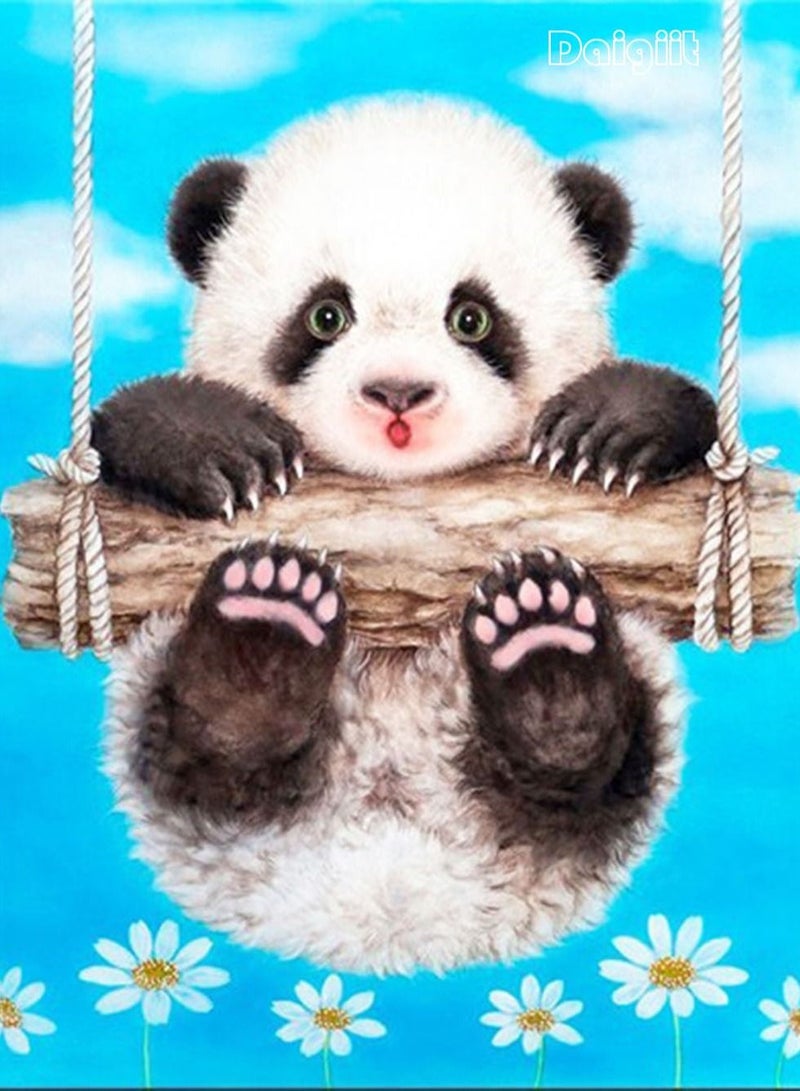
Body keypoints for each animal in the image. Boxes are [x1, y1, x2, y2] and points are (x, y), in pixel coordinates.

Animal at [92, 95, 716, 976]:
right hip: (157, 718)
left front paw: (609, 430)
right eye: (326, 315)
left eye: (472, 317)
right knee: (200, 759)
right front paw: (220, 448)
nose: (398, 394)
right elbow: (122, 425)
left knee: (596, 776)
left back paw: (545, 653)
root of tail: (397, 892)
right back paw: (262, 633)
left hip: (631, 723)